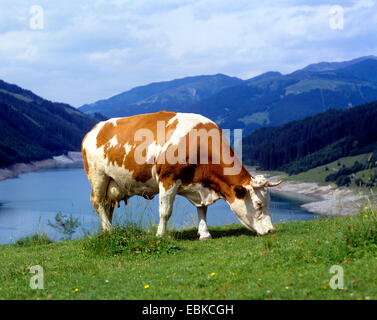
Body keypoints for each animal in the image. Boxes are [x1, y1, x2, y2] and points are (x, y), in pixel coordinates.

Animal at [83, 111, 282, 239]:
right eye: (258, 204)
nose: (271, 231)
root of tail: (94, 129)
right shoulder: (168, 179)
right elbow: (165, 211)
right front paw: (160, 234)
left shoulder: (201, 185)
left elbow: (203, 209)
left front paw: (205, 234)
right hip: (98, 176)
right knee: (98, 203)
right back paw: (110, 231)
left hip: (112, 183)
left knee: (107, 206)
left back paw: (106, 230)